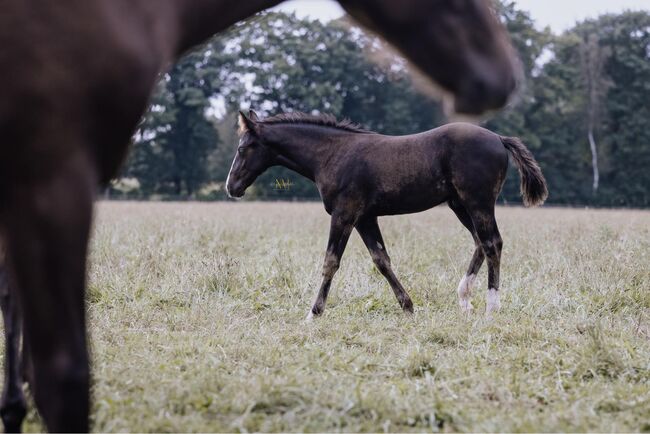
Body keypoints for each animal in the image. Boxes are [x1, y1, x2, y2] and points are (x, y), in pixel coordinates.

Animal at [0, 1, 516, 432]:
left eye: (246, 146)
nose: (230, 187)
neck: (336, 153)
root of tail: (500, 138)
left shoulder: (346, 212)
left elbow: (331, 262)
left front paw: (312, 314)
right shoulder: (366, 216)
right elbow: (381, 261)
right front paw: (408, 308)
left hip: (473, 201)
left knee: (492, 242)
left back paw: (490, 308)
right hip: (460, 204)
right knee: (482, 242)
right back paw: (465, 298)